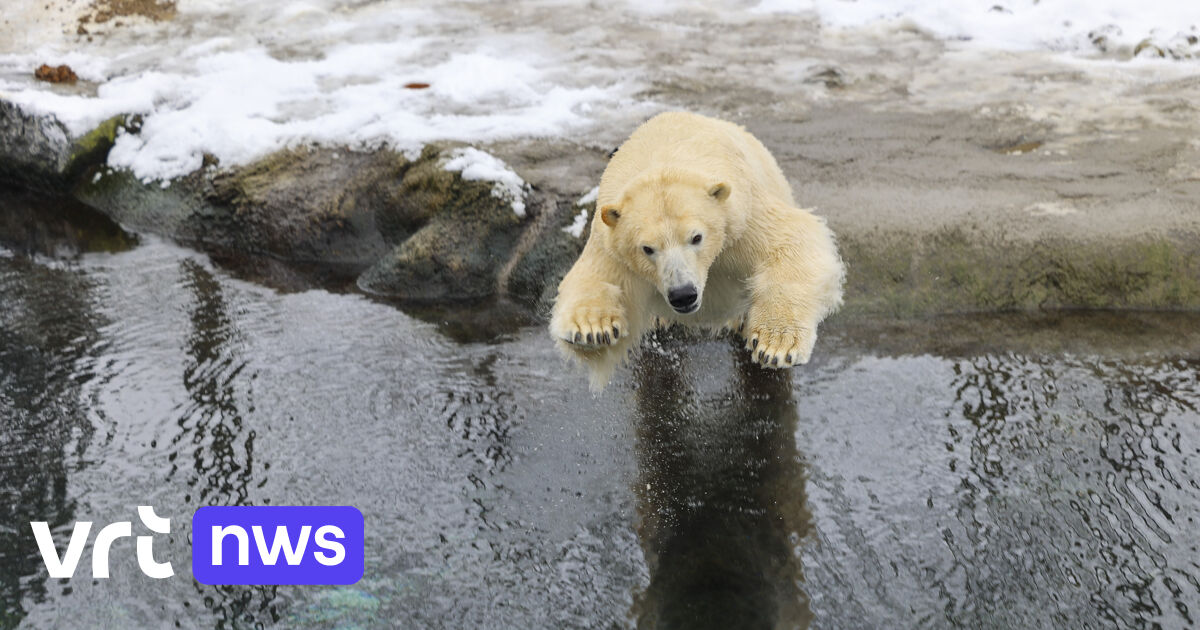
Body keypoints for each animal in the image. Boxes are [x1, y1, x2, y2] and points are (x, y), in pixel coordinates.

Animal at [549, 112, 840, 388]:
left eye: (696, 237)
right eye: (647, 249)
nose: (683, 295)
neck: (666, 159)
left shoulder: (741, 219)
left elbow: (791, 242)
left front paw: (776, 345)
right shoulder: (612, 238)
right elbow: (596, 277)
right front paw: (592, 329)